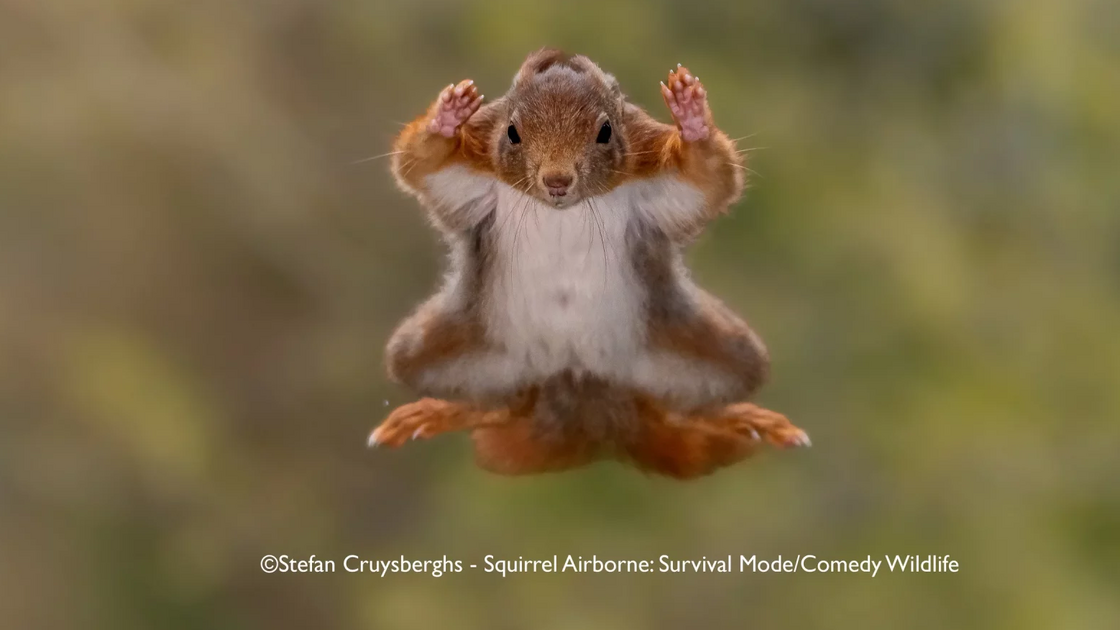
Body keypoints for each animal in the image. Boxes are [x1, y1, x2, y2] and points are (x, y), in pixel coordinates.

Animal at [369, 49, 809, 479]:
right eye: (512, 132)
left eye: (606, 131)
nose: (557, 181)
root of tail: (582, 393)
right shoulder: (474, 170)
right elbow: (422, 166)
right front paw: (446, 119)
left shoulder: (652, 172)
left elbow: (708, 179)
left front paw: (693, 119)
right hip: (444, 348)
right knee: (502, 404)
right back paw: (444, 411)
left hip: (708, 349)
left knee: (677, 408)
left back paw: (737, 418)